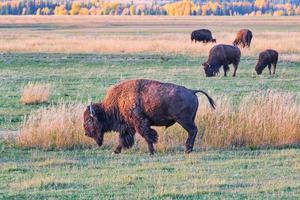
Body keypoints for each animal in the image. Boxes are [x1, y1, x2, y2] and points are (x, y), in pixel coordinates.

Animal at [84, 79, 216, 155]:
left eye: (89, 120)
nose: (86, 133)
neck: (119, 101)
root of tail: (191, 91)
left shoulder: (140, 123)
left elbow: (148, 136)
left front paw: (151, 152)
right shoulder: (129, 126)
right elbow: (124, 139)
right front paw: (116, 151)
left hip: (184, 120)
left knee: (193, 131)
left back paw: (187, 150)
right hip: (188, 120)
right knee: (193, 131)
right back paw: (188, 149)